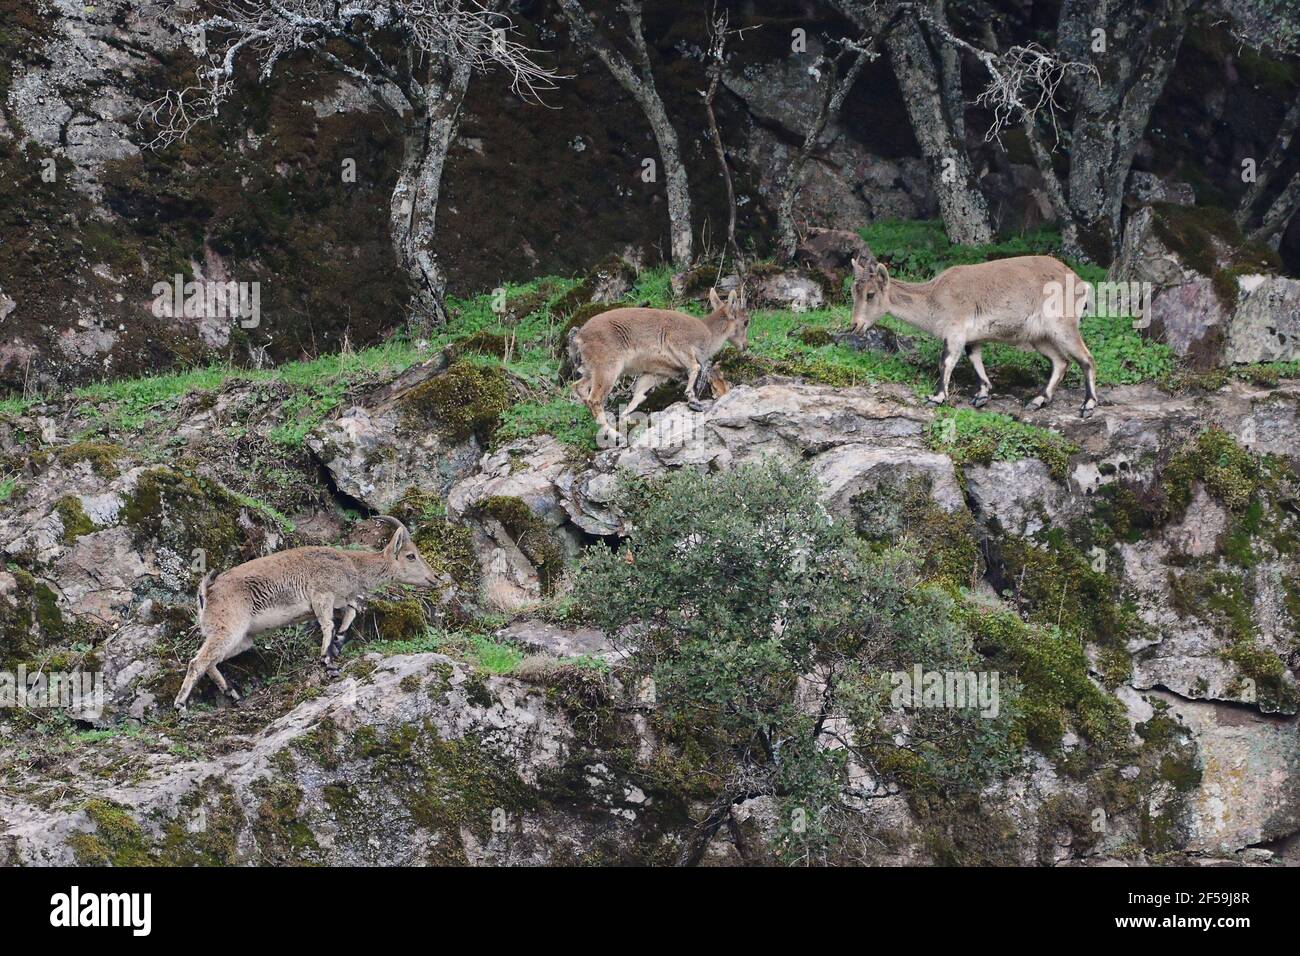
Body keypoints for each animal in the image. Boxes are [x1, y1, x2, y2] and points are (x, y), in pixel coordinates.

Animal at [173, 516, 438, 710]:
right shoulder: (322, 595)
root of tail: (207, 592)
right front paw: (327, 660)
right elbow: (328, 623)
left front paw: (338, 643)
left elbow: (349, 614)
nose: (434, 578)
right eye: (411, 555)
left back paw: (232, 693)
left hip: (241, 638)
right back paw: (181, 705)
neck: (351, 565)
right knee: (198, 661)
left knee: (210, 661)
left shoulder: (338, 600)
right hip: (228, 628)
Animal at [568, 288, 750, 442]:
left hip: (592, 371)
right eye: (746, 322)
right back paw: (616, 435)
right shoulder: (680, 343)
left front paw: (627, 416)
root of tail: (579, 338)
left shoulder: (655, 372)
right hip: (608, 368)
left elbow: (639, 395)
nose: (745, 346)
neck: (708, 334)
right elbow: (695, 367)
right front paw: (692, 399)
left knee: (578, 387)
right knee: (594, 399)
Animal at [848, 255, 1098, 414]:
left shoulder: (955, 329)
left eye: (870, 294)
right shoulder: (972, 337)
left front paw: (937, 397)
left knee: (1086, 359)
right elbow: (974, 357)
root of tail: (1081, 283)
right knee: (1061, 361)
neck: (933, 298)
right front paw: (982, 394)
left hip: (1063, 326)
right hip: (1039, 337)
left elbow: (946, 361)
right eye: (853, 291)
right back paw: (1037, 400)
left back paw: (1088, 405)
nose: (855, 325)